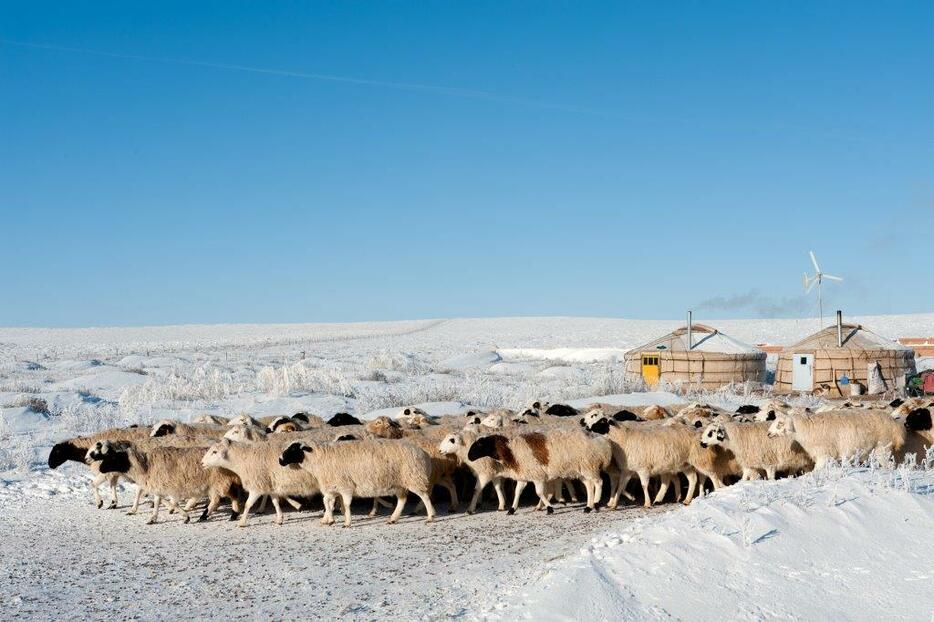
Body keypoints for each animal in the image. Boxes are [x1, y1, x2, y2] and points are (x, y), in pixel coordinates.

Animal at [468, 432, 616, 516]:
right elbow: (517, 492)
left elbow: (539, 492)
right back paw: (588, 507)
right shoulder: (524, 476)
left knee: (599, 482)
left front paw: (550, 509)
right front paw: (512, 509)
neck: (511, 452)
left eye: (479, 445)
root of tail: (603, 443)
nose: (469, 457)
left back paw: (596, 504)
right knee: (590, 486)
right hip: (583, 470)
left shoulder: (537, 476)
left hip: (589, 466)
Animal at [768, 410, 908, 468]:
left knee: (889, 466)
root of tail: (895, 425)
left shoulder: (824, 455)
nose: (768, 433)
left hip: (883, 448)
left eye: (780, 424)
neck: (806, 429)